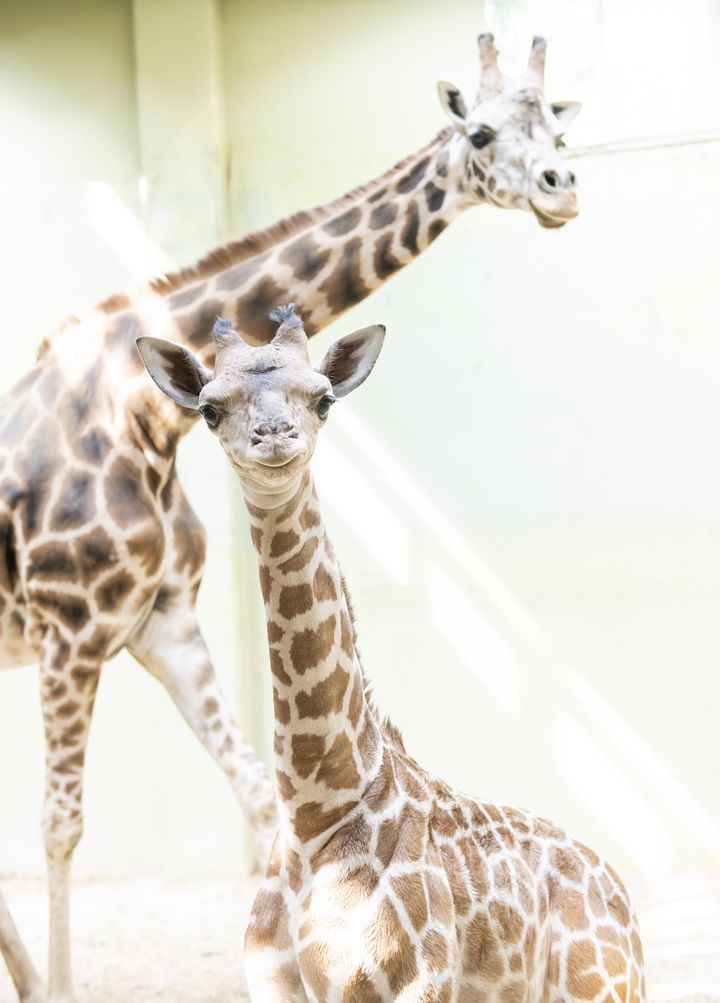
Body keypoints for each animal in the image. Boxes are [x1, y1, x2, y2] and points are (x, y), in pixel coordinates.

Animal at [1, 31, 581, 1003]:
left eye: (561, 130)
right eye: (482, 132)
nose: (560, 189)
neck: (138, 409)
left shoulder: (160, 619)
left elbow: (251, 785)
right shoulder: (71, 629)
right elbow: (61, 822)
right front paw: (61, 988)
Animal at [138, 308, 645, 998]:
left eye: (323, 398)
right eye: (211, 410)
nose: (275, 438)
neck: (315, 809)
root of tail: (623, 900)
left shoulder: (411, 982)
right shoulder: (272, 984)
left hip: (600, 987)